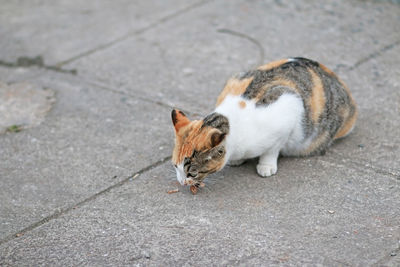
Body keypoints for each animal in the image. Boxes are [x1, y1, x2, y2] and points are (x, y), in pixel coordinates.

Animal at [170, 57, 358, 187]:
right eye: (175, 167)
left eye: (192, 173)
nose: (181, 182)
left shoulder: (289, 109)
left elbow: (272, 149)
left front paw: (266, 165)